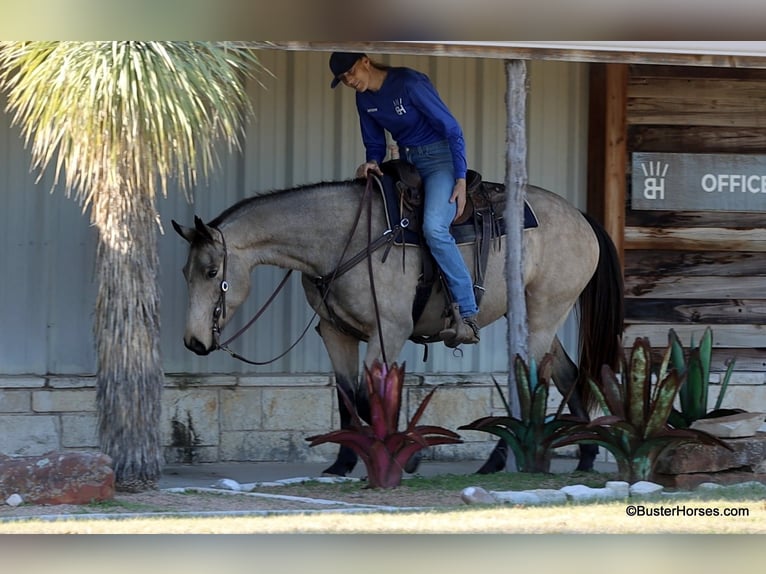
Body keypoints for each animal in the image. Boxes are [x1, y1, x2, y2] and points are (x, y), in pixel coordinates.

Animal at [171, 176, 624, 476]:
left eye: (211, 272)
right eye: (185, 272)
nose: (193, 341)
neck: (347, 240)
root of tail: (581, 218)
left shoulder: (387, 332)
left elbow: (371, 397)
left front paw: (407, 454)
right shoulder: (336, 333)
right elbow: (348, 396)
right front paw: (343, 463)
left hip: (544, 313)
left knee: (532, 379)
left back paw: (499, 460)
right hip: (533, 316)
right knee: (565, 373)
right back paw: (584, 455)